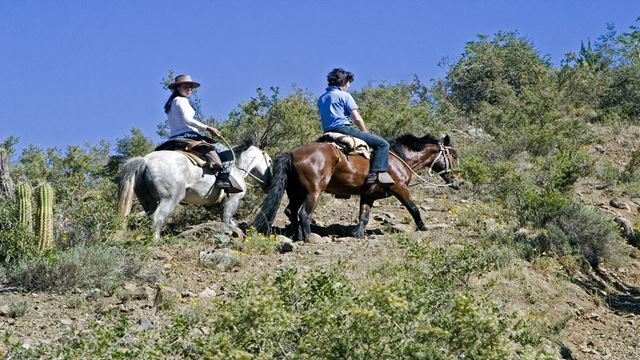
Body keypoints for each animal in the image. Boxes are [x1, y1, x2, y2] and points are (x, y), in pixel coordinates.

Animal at [117, 140, 270, 239]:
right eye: (269, 160)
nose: (267, 185)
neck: (237, 170)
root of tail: (145, 160)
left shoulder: (216, 206)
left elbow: (232, 222)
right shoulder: (232, 201)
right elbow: (227, 221)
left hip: (148, 201)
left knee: (151, 218)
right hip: (170, 199)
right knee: (157, 218)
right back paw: (156, 241)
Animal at [252, 134, 462, 240]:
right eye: (453, 156)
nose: (458, 182)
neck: (399, 159)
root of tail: (292, 153)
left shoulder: (368, 195)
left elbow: (364, 215)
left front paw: (359, 235)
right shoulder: (400, 188)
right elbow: (413, 207)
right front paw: (423, 226)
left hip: (295, 192)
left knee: (290, 211)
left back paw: (299, 236)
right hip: (314, 191)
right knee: (304, 213)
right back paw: (309, 238)